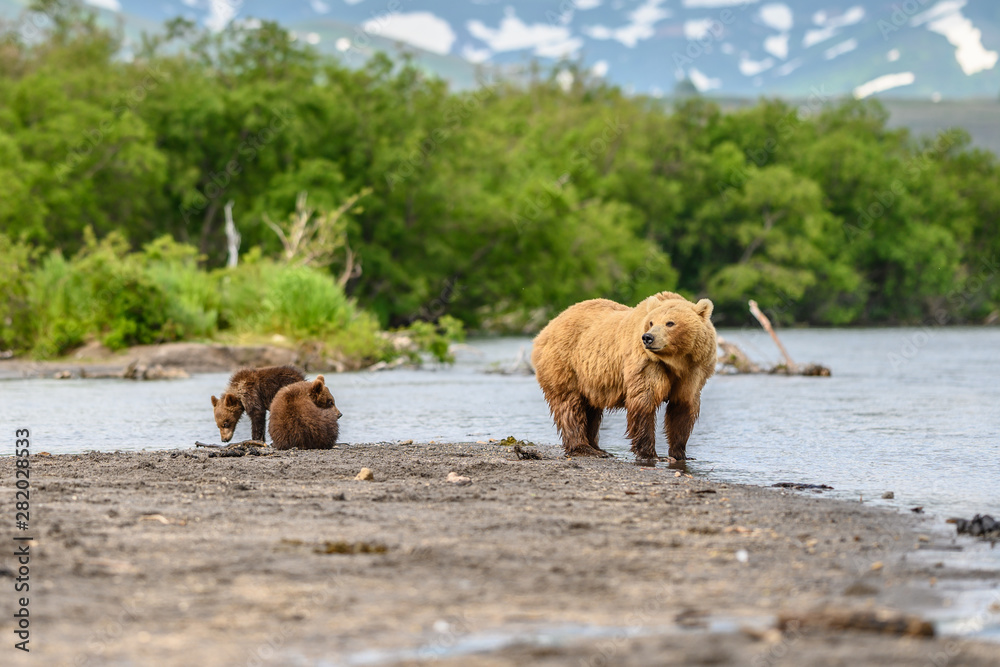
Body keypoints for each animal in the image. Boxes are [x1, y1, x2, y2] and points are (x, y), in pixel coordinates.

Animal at [531, 291, 716, 462]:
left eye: (670, 322)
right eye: (651, 322)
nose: (648, 338)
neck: (675, 362)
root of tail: (547, 327)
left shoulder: (693, 371)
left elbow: (683, 406)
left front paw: (680, 453)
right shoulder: (646, 364)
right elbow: (644, 401)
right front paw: (650, 454)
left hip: (589, 379)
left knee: (591, 408)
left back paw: (598, 448)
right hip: (565, 363)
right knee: (569, 404)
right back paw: (584, 448)